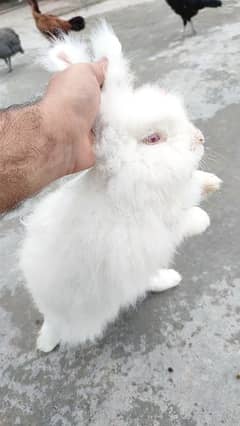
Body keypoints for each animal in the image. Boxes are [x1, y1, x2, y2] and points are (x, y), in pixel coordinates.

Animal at [19, 21, 221, 352]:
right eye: (153, 139)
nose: (200, 139)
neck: (124, 182)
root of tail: (51, 314)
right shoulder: (147, 234)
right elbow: (182, 221)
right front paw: (201, 218)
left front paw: (212, 183)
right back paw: (47, 344)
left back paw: (169, 279)